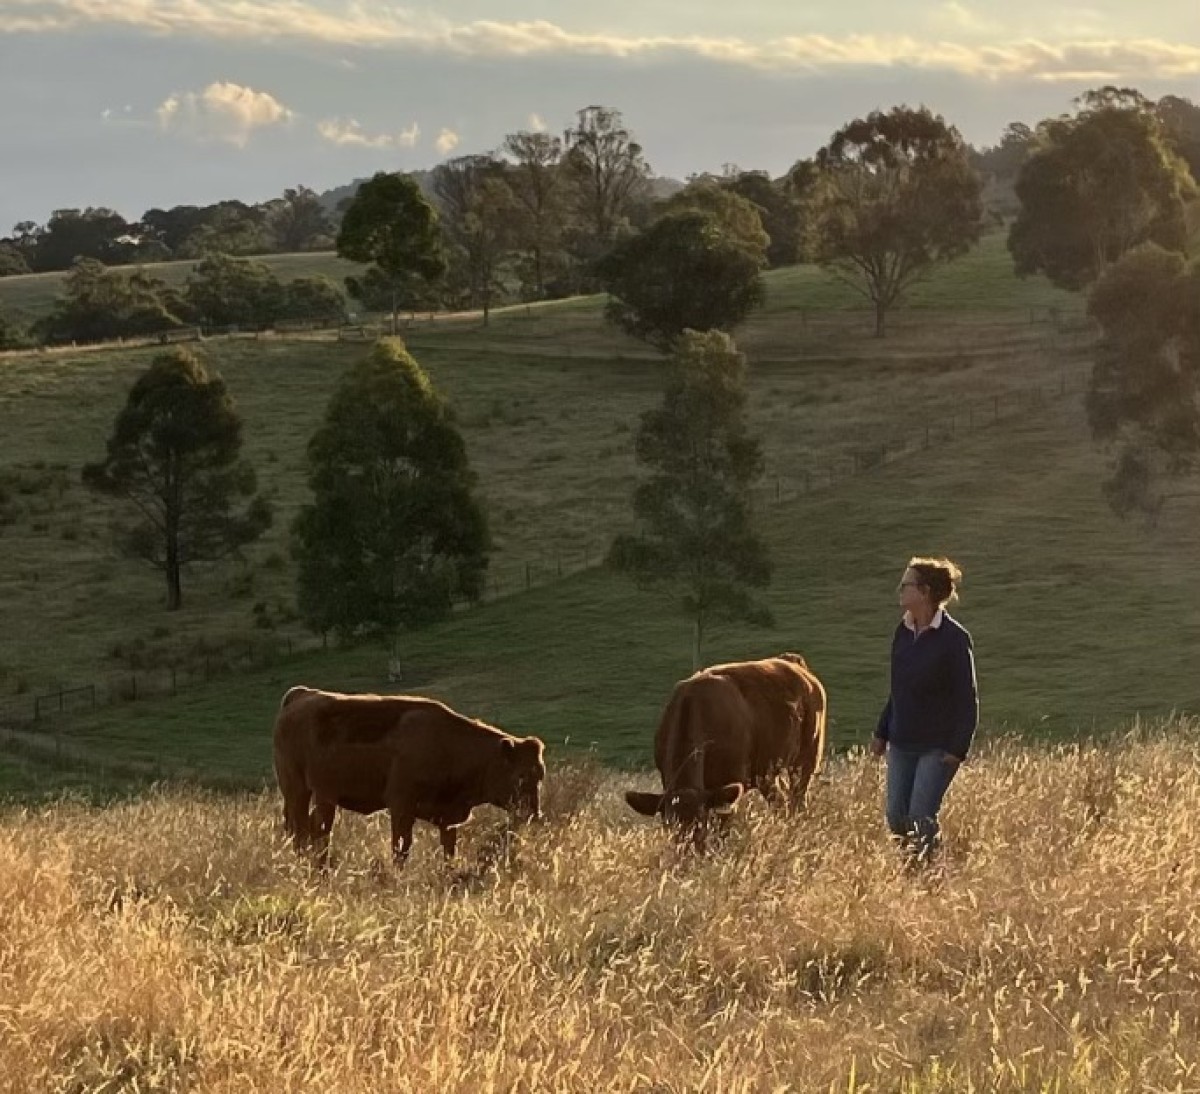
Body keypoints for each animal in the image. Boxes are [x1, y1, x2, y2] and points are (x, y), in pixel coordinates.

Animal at [273, 686, 549, 868]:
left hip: (324, 797)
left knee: (316, 830)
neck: (449, 744)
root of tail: (301, 695)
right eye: (520, 775)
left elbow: (448, 851)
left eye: (540, 775)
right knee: (301, 831)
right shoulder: (401, 807)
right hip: (297, 790)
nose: (532, 814)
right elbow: (401, 848)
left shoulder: (448, 820)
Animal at [628, 652, 825, 839]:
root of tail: (793, 663)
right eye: (669, 826)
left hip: (807, 758)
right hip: (766, 773)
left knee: (798, 799)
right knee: (782, 801)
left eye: (701, 823)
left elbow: (722, 831)